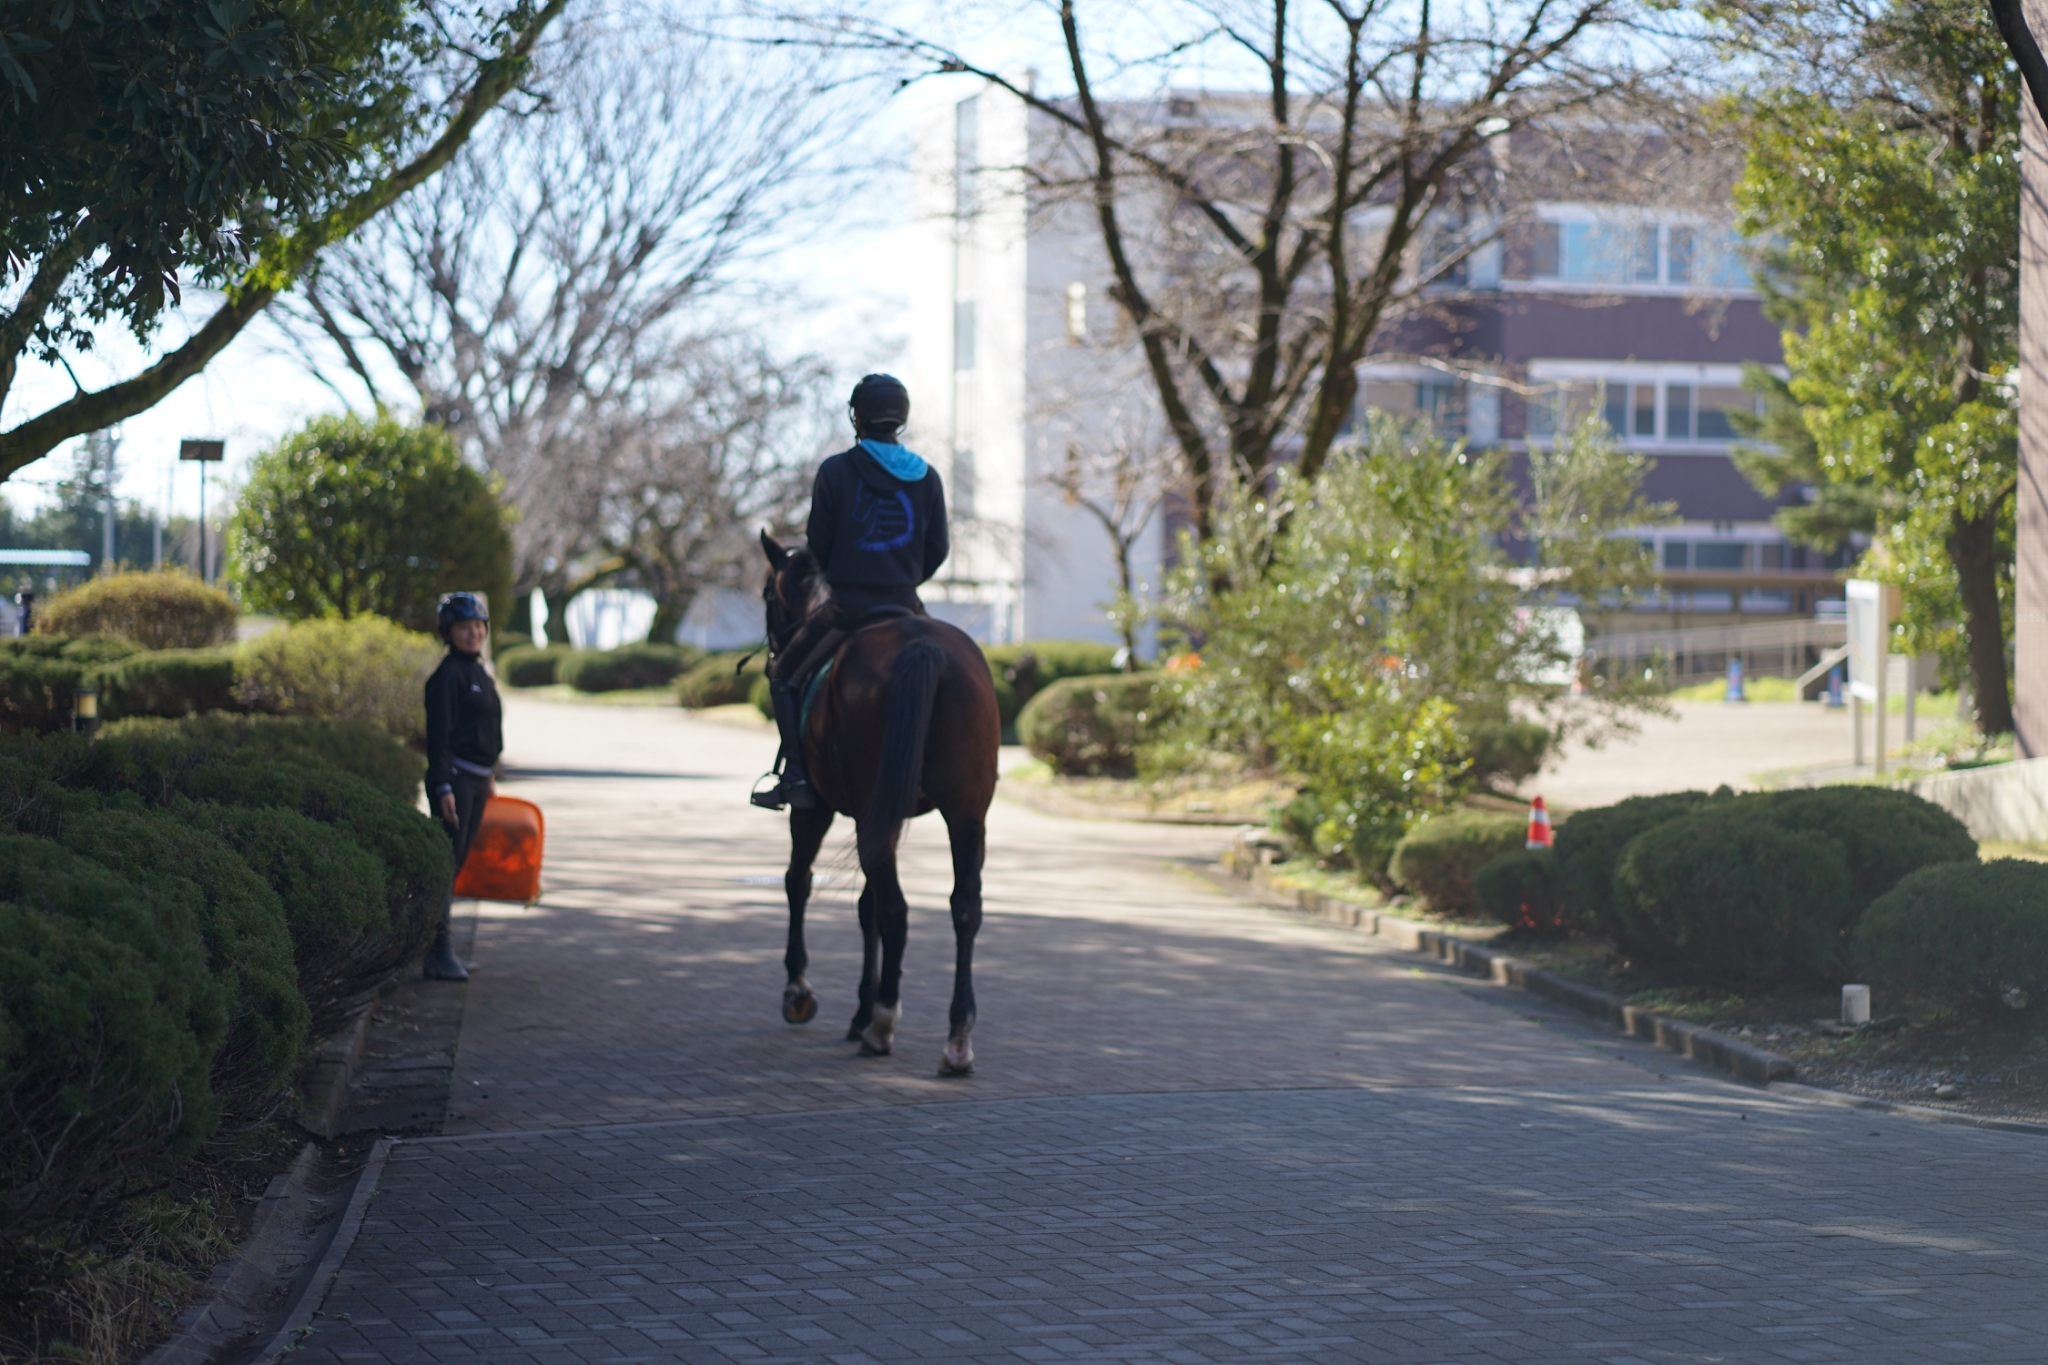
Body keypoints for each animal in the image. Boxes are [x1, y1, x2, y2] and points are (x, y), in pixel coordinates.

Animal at [759, 531, 1002, 1075]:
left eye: (766, 593)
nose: (773, 650)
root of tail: (922, 646)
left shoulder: (819, 808)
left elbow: (801, 883)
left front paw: (802, 992)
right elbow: (865, 904)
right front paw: (859, 1008)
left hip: (860, 809)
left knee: (894, 907)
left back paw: (883, 1022)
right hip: (967, 815)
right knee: (964, 907)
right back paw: (957, 1037)